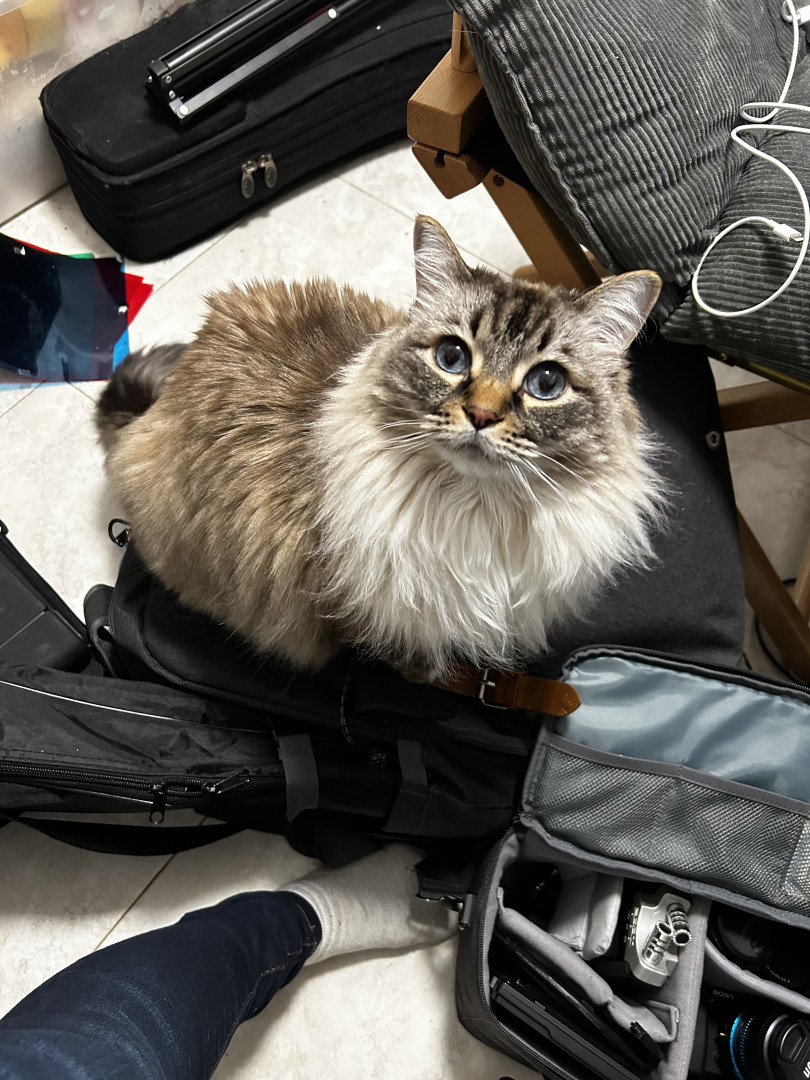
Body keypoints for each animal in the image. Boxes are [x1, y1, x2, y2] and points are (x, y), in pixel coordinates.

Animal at [97, 216, 664, 683]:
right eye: (452, 357)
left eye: (547, 383)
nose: (481, 416)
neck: (477, 512)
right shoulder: (357, 607)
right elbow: (405, 654)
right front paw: (433, 677)